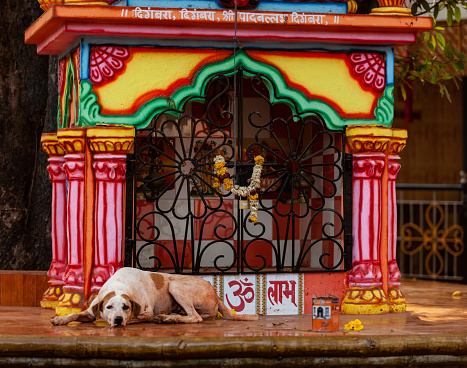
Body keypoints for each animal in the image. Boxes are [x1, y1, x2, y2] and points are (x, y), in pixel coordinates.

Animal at [50, 268, 260, 328]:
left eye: (125, 307)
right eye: (109, 307)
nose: (117, 319)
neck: (119, 285)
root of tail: (215, 292)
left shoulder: (146, 311)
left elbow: (140, 317)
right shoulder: (90, 311)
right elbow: (74, 315)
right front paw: (60, 319)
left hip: (175, 285)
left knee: (195, 317)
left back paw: (169, 318)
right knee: (200, 315)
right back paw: (173, 315)